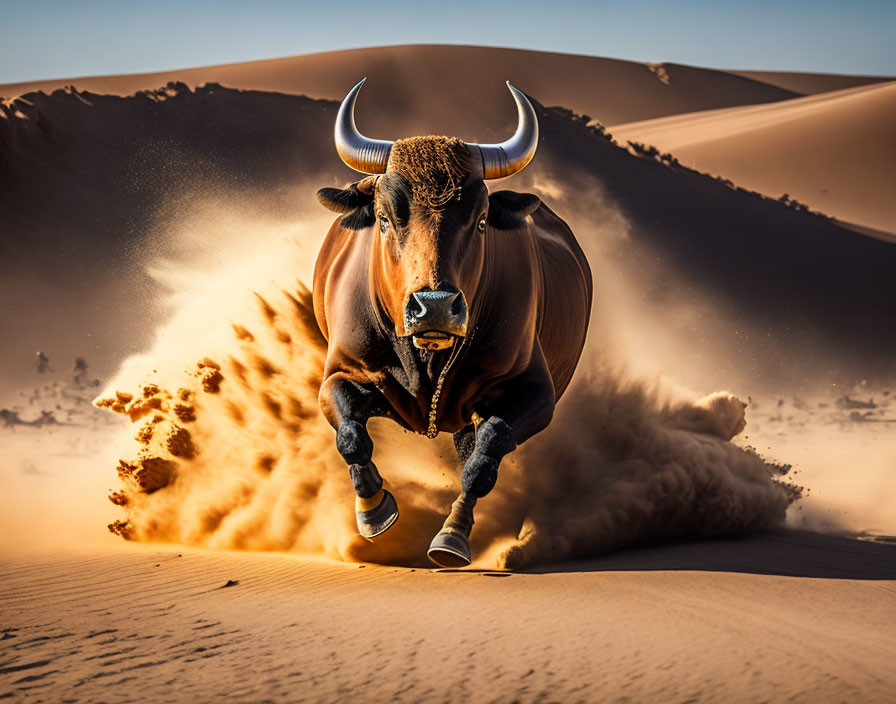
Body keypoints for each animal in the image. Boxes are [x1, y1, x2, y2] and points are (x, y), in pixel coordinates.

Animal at [312, 81, 592, 568]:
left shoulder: (536, 393)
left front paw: (453, 534)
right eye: (384, 218)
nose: (435, 306)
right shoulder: (340, 373)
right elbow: (351, 436)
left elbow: (486, 456)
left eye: (480, 221)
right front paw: (373, 510)